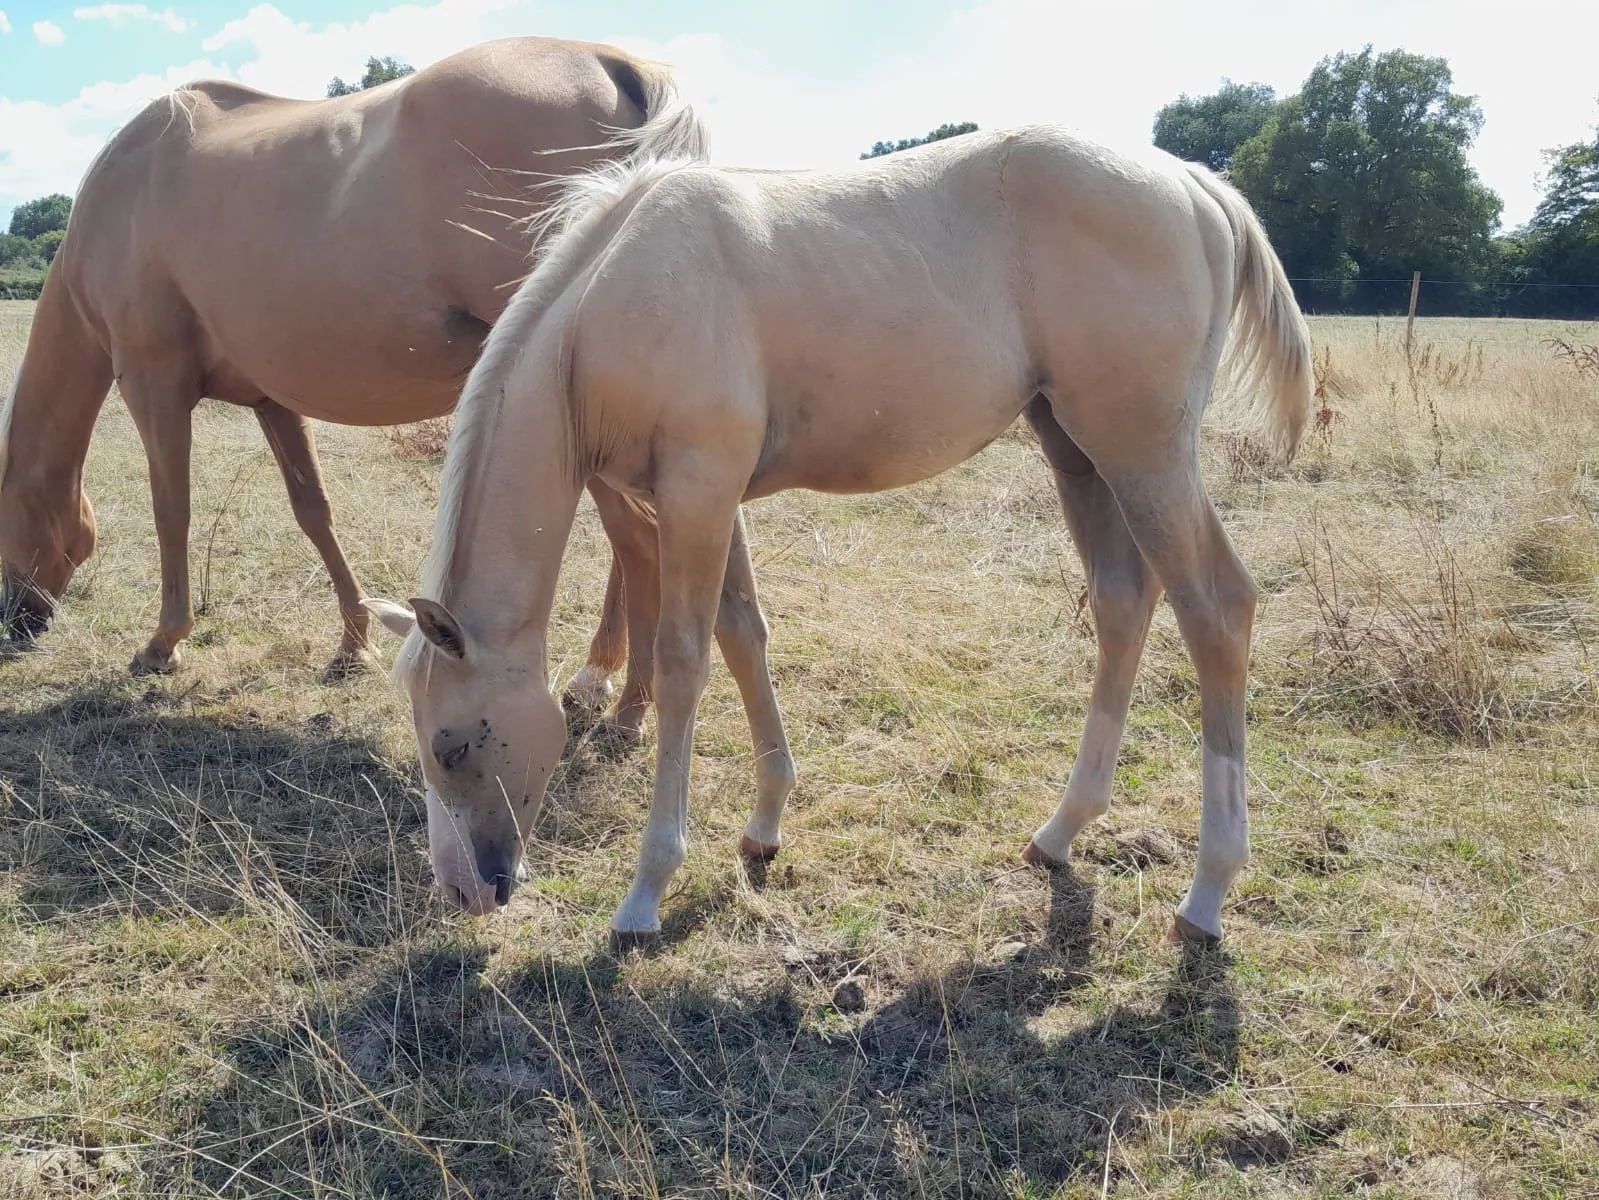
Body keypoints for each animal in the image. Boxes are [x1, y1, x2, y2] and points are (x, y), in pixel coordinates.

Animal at [0, 36, 680, 721]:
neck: (121, 196)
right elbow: (313, 511)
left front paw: (163, 644)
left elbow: (173, 510)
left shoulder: (153, 384)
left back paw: (629, 706)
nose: (17, 625)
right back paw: (600, 681)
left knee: (641, 540)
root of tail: (614, 64)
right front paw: (354, 643)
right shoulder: (271, 400)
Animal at [367, 110, 1312, 944]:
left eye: (450, 746)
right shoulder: (707, 498)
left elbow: (682, 663)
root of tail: (1191, 181)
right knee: (1122, 603)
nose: (465, 891)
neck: (612, 297)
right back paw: (1060, 832)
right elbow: (743, 636)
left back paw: (1207, 893)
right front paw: (764, 824)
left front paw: (646, 892)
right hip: (1074, 450)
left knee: (1216, 609)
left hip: (1142, 451)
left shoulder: (697, 491)